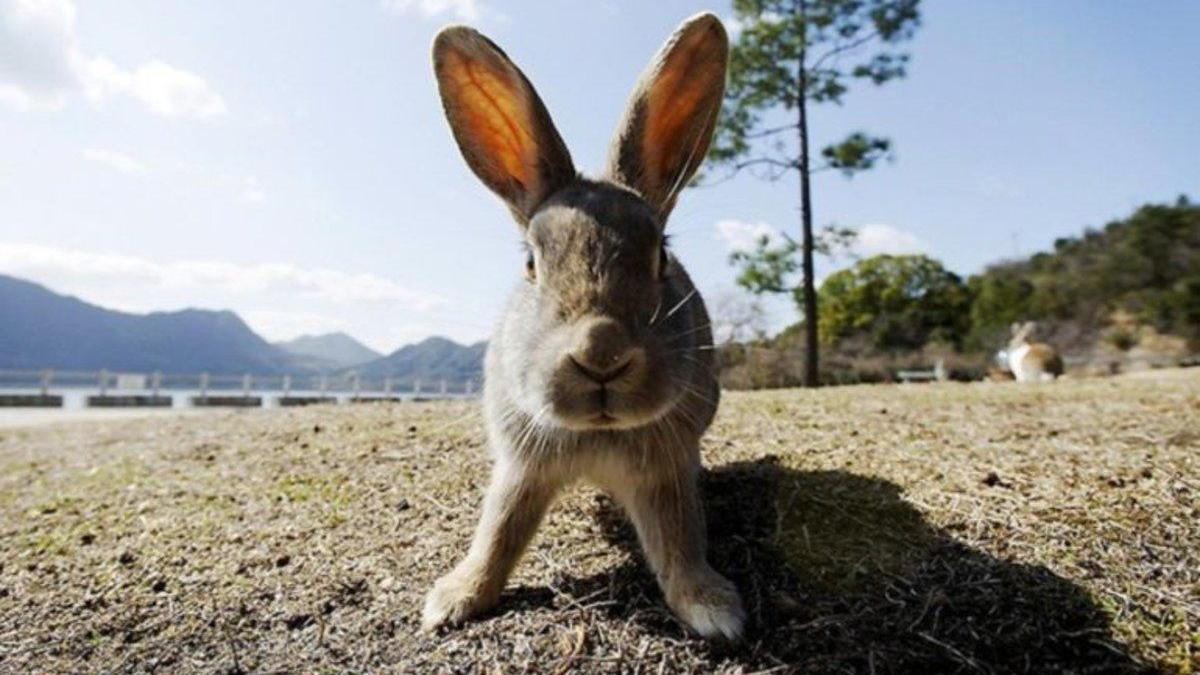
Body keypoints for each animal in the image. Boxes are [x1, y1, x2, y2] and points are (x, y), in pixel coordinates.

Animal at [422, 14, 739, 634]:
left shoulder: (664, 470)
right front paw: (454, 600)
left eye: (661, 256)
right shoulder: (522, 466)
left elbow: (679, 539)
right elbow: (498, 532)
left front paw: (712, 608)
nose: (602, 352)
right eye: (531, 263)